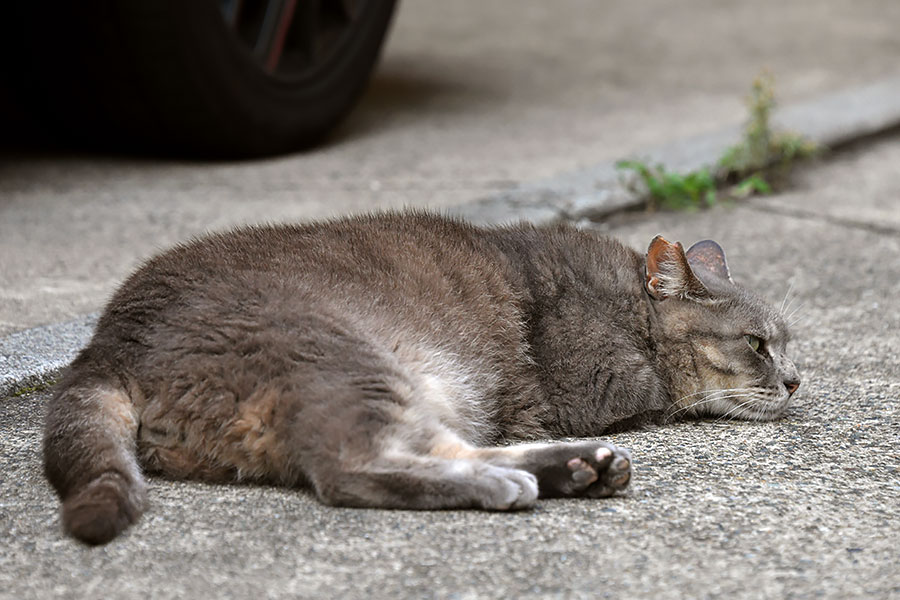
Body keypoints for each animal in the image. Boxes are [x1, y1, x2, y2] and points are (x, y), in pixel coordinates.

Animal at [44, 211, 800, 544]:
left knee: (448, 447)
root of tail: (104, 344)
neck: (626, 304)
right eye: (757, 345)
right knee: (351, 467)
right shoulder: (611, 390)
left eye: (791, 346)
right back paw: (520, 482)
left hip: (418, 389)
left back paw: (576, 468)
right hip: (350, 363)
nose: (795, 381)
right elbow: (665, 398)